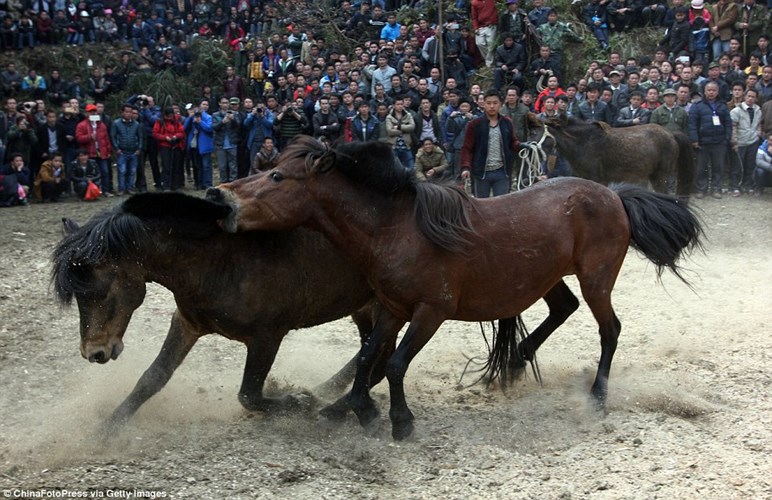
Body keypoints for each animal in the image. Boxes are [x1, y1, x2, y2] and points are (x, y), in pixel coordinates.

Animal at [51, 191, 376, 434]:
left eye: (102, 289)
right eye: (78, 295)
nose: (94, 353)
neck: (221, 260)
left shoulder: (267, 336)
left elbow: (249, 394)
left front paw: (299, 401)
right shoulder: (186, 323)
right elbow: (153, 377)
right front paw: (107, 429)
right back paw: (332, 390)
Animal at [208, 137, 704, 438]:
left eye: (277, 177)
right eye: (269, 167)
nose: (221, 197)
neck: (398, 229)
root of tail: (613, 194)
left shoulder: (431, 311)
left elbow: (395, 364)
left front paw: (399, 421)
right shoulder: (392, 308)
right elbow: (369, 357)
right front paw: (356, 409)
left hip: (597, 277)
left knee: (610, 329)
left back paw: (597, 397)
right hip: (545, 277)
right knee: (563, 308)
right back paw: (514, 363)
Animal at [528, 114, 696, 200]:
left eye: (535, 132)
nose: (527, 149)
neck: (582, 143)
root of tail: (672, 134)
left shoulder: (599, 179)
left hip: (660, 176)